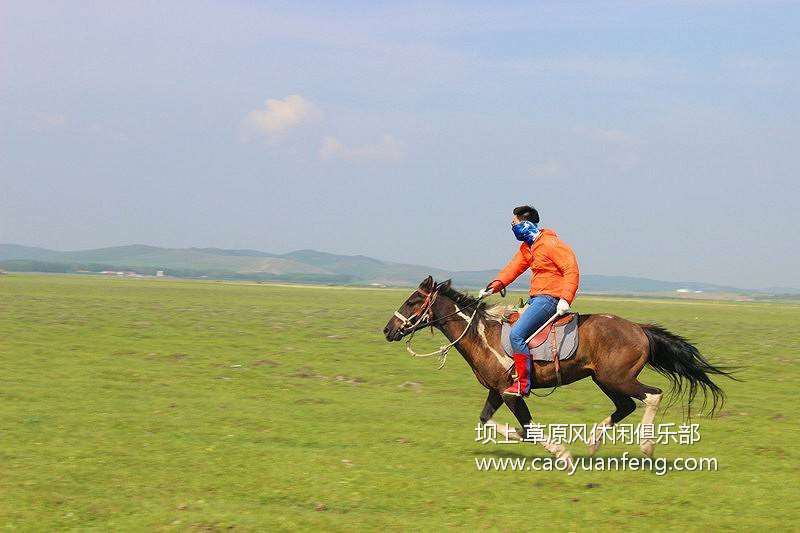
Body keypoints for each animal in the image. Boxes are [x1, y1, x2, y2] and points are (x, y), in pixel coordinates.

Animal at [384, 276, 736, 460]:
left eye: (413, 300)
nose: (389, 330)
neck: (483, 335)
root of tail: (639, 328)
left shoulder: (512, 393)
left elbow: (527, 428)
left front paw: (560, 451)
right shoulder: (497, 391)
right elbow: (489, 421)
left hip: (617, 378)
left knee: (652, 396)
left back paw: (646, 446)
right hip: (604, 380)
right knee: (624, 406)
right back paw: (593, 443)